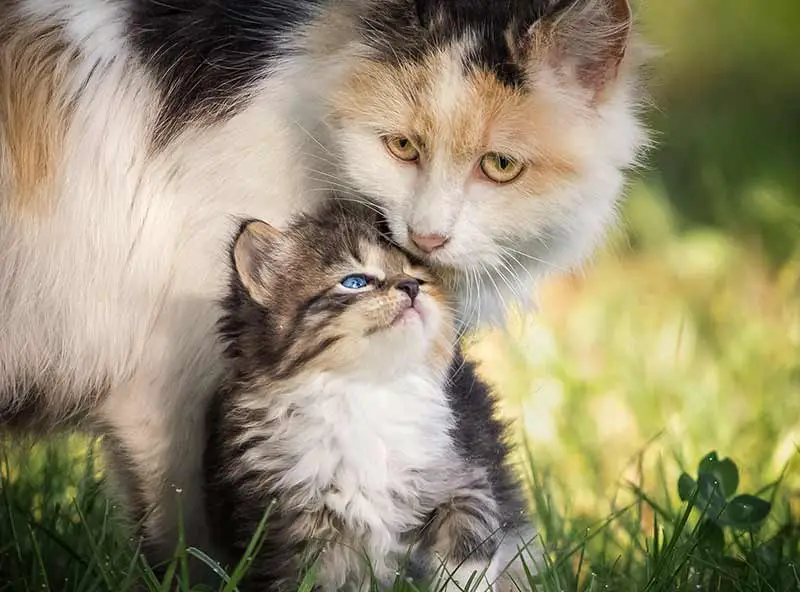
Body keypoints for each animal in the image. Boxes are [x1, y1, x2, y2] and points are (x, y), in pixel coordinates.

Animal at [203, 202, 536, 588]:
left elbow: (471, 534)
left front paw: (463, 582)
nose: (411, 286)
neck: (366, 391)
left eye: (418, 275)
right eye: (355, 282)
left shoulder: (463, 470)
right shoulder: (287, 527)